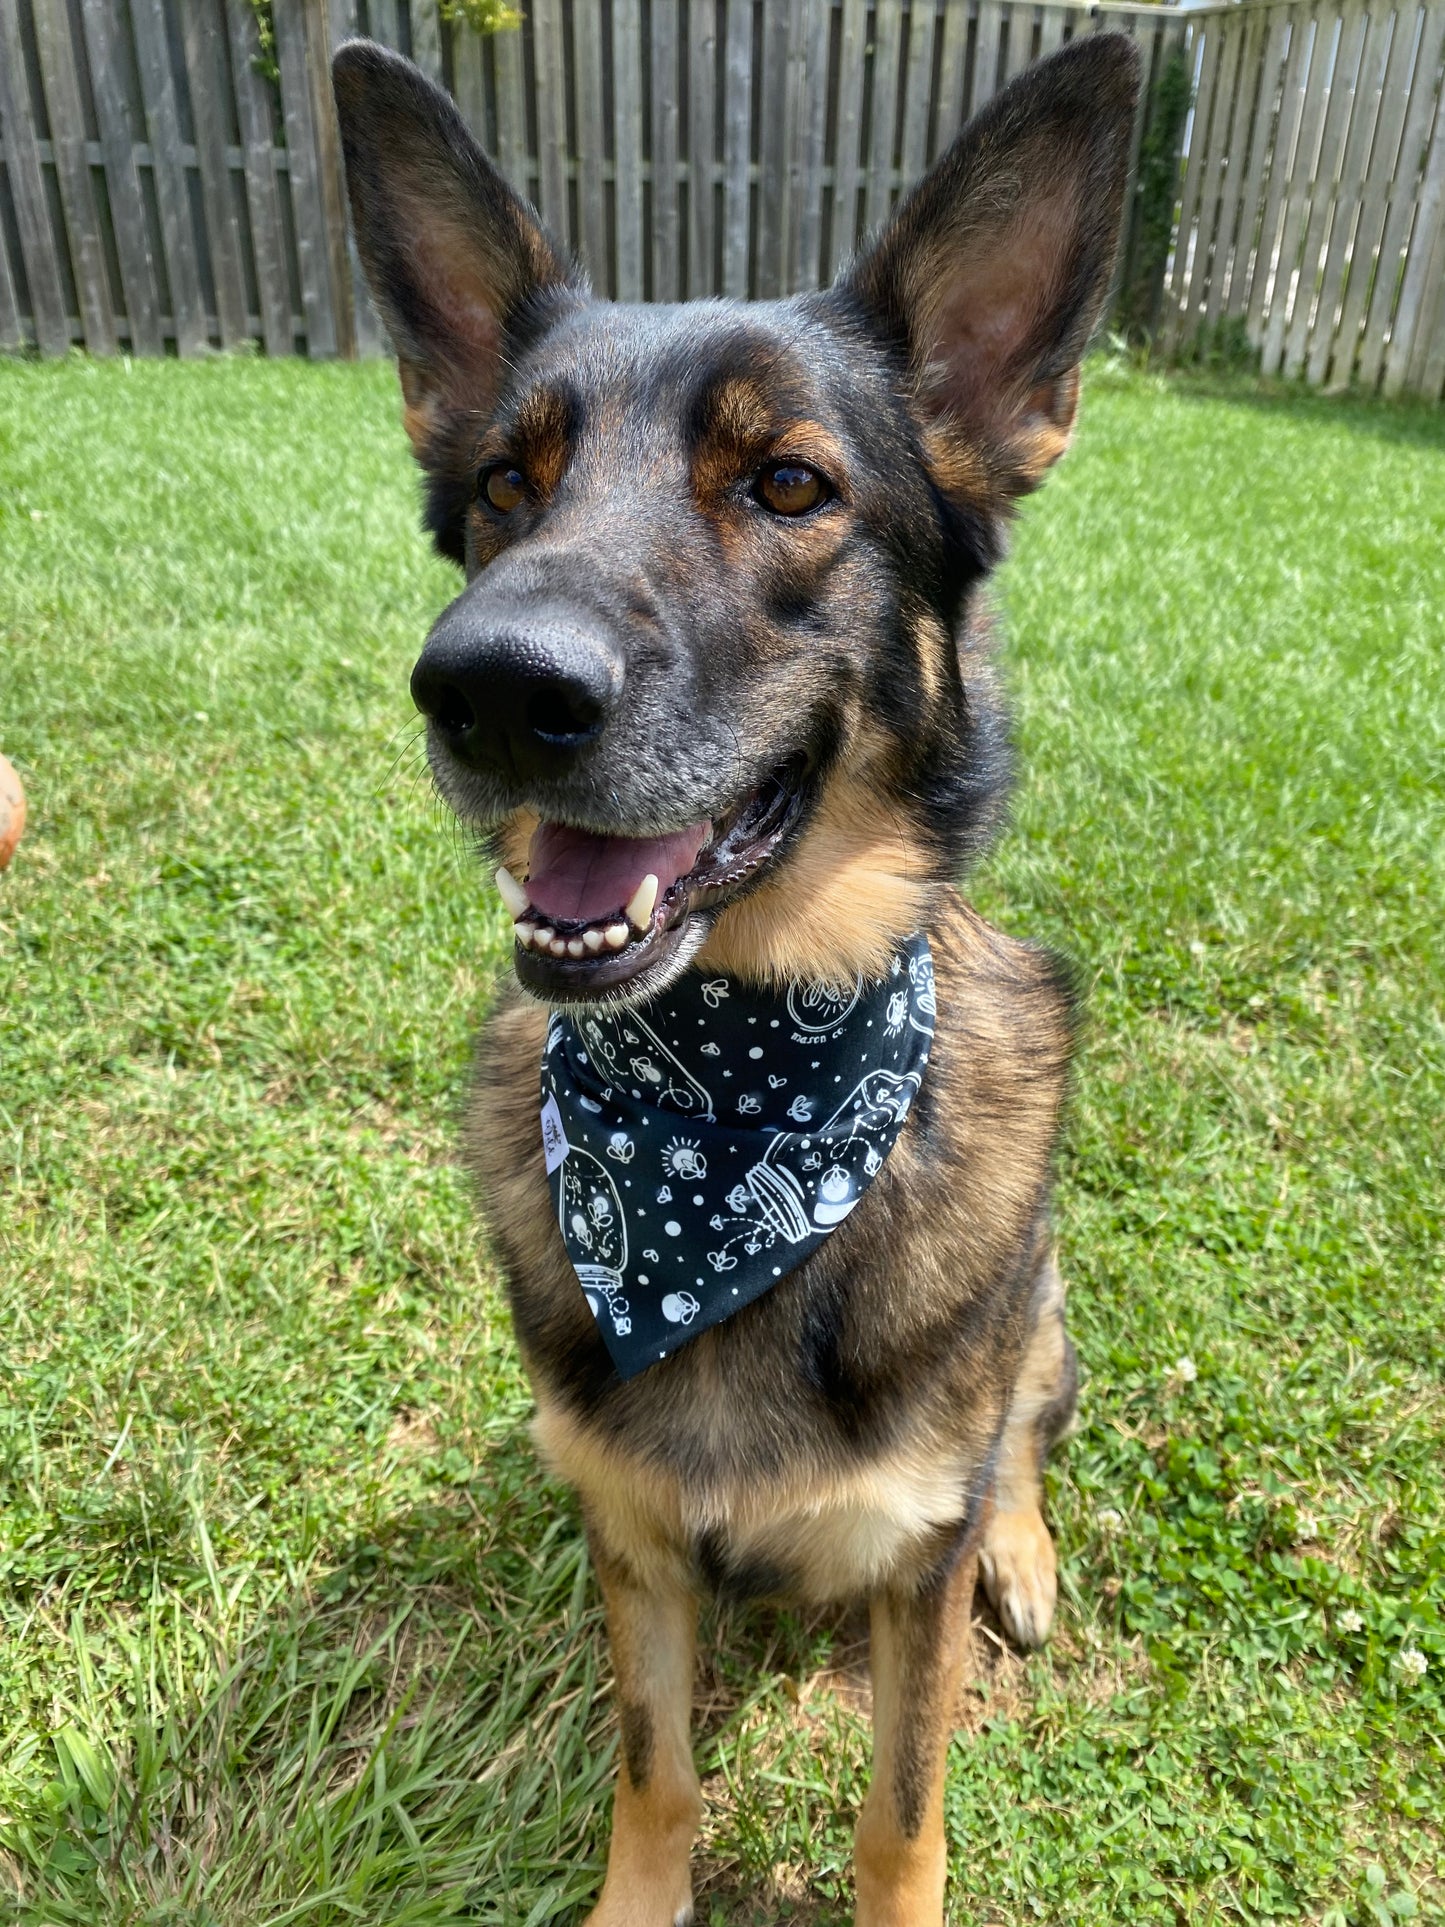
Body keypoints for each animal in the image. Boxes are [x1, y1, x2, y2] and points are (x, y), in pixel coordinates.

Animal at [337, 33, 1140, 1927]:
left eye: (789, 485)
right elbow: (659, 1772)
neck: (732, 1096)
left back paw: (1026, 1548)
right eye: (506, 487)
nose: (489, 686)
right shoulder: (629, 1539)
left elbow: (900, 1811)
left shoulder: (910, 1558)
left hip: (1040, 1309)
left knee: (1024, 1434)